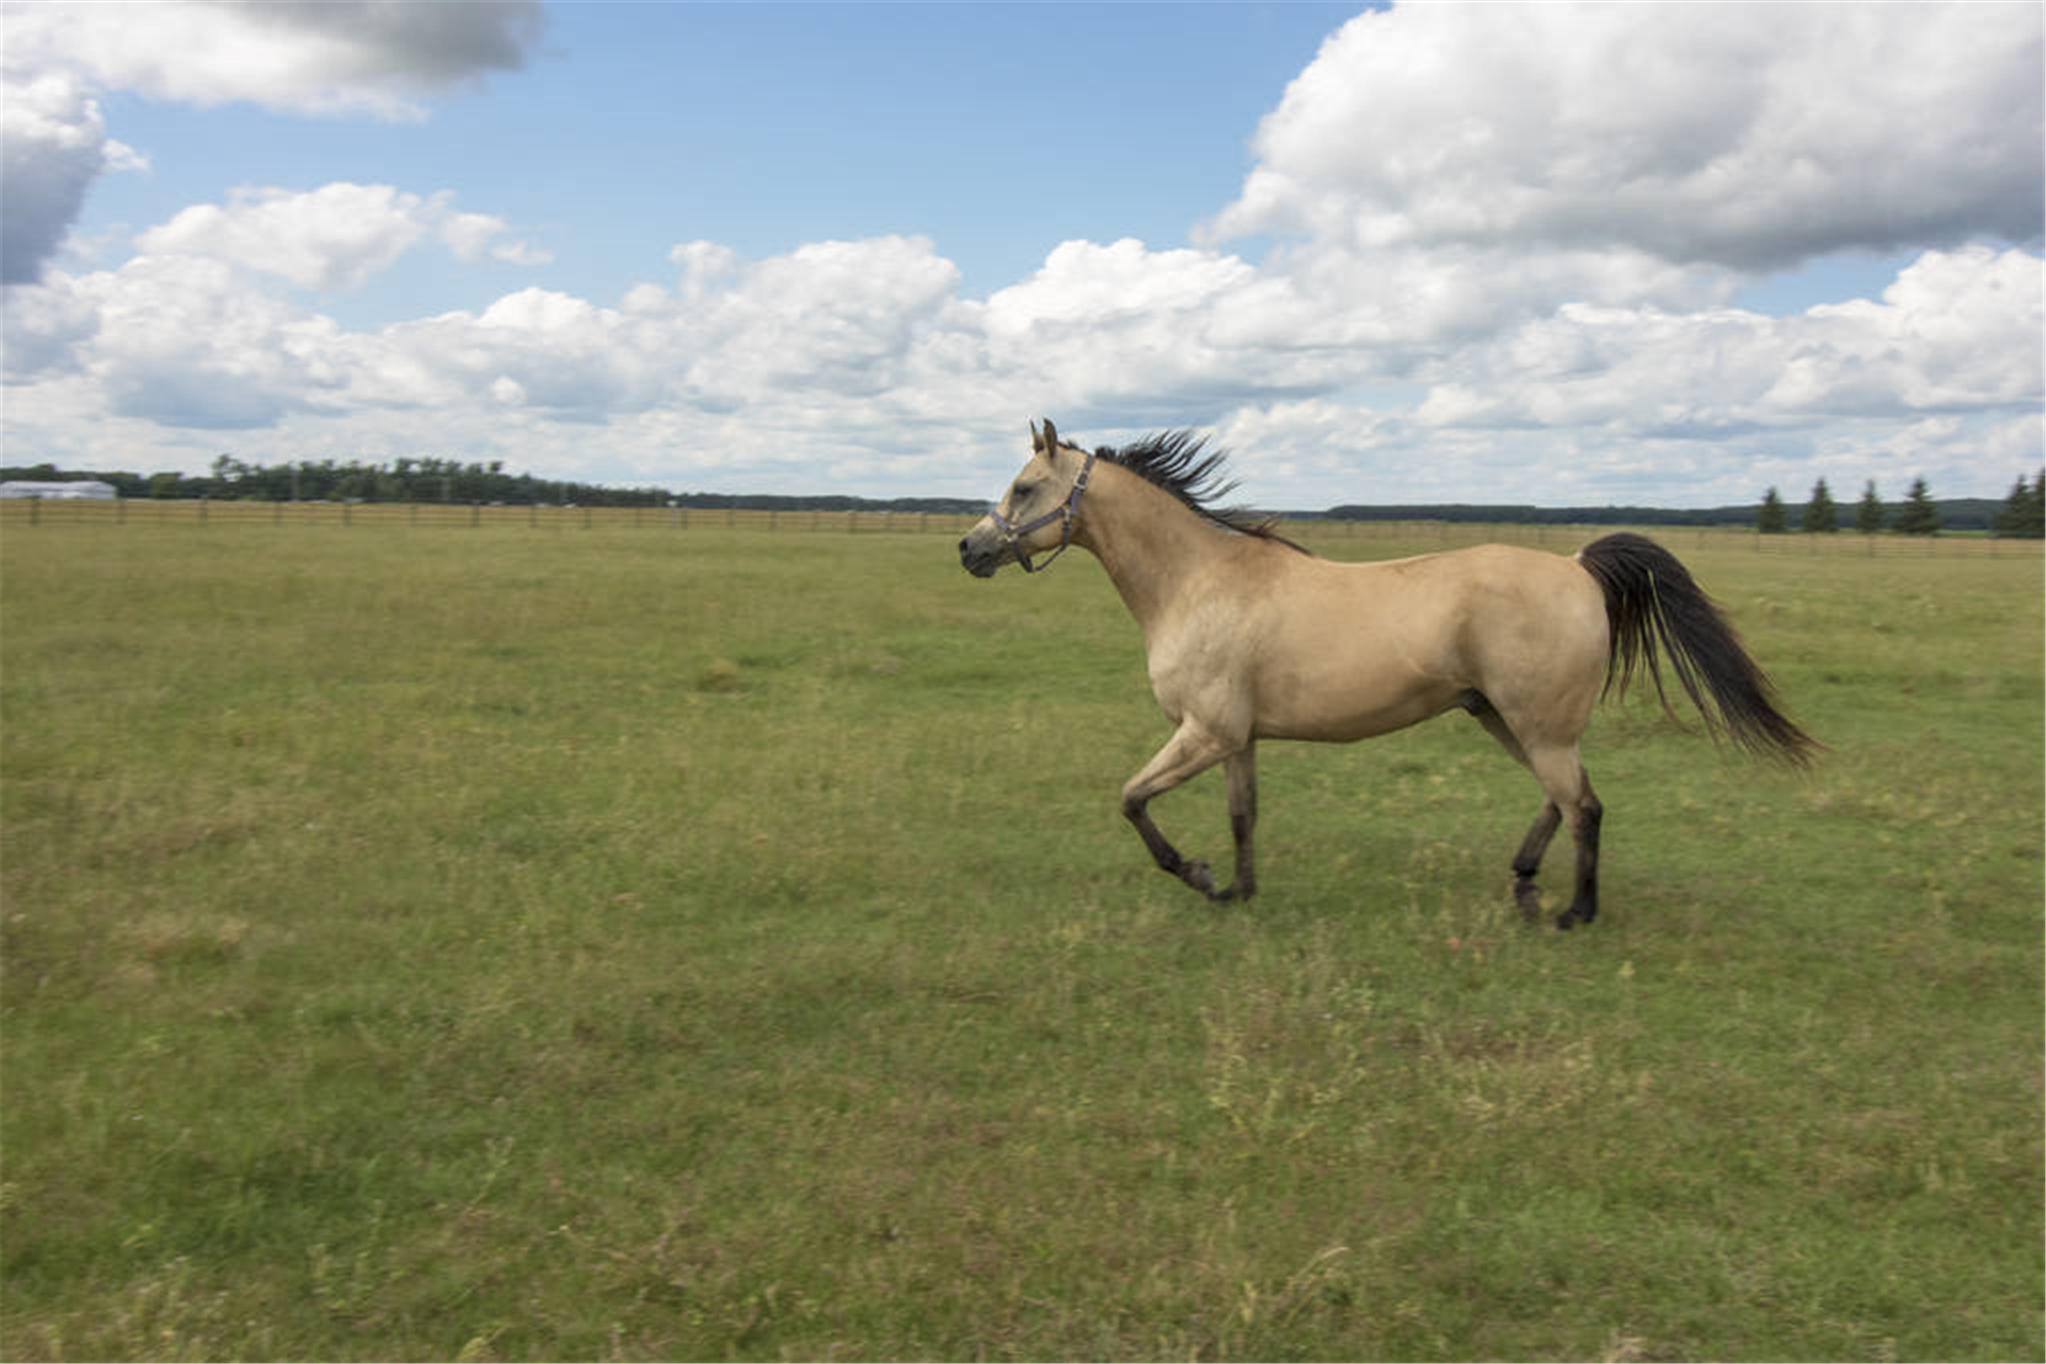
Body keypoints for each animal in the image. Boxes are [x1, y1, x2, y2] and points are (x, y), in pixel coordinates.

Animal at [957, 417, 1825, 928]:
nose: (969, 548)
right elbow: (1243, 817)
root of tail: (1577, 566)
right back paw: (1523, 882)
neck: (1197, 582)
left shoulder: (1202, 733)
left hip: (1537, 726)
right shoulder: (1236, 738)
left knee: (1583, 806)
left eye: (1024, 488)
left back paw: (1572, 912)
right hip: (1504, 718)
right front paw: (1238, 891)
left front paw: (1197, 877)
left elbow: (1132, 800)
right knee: (1566, 799)